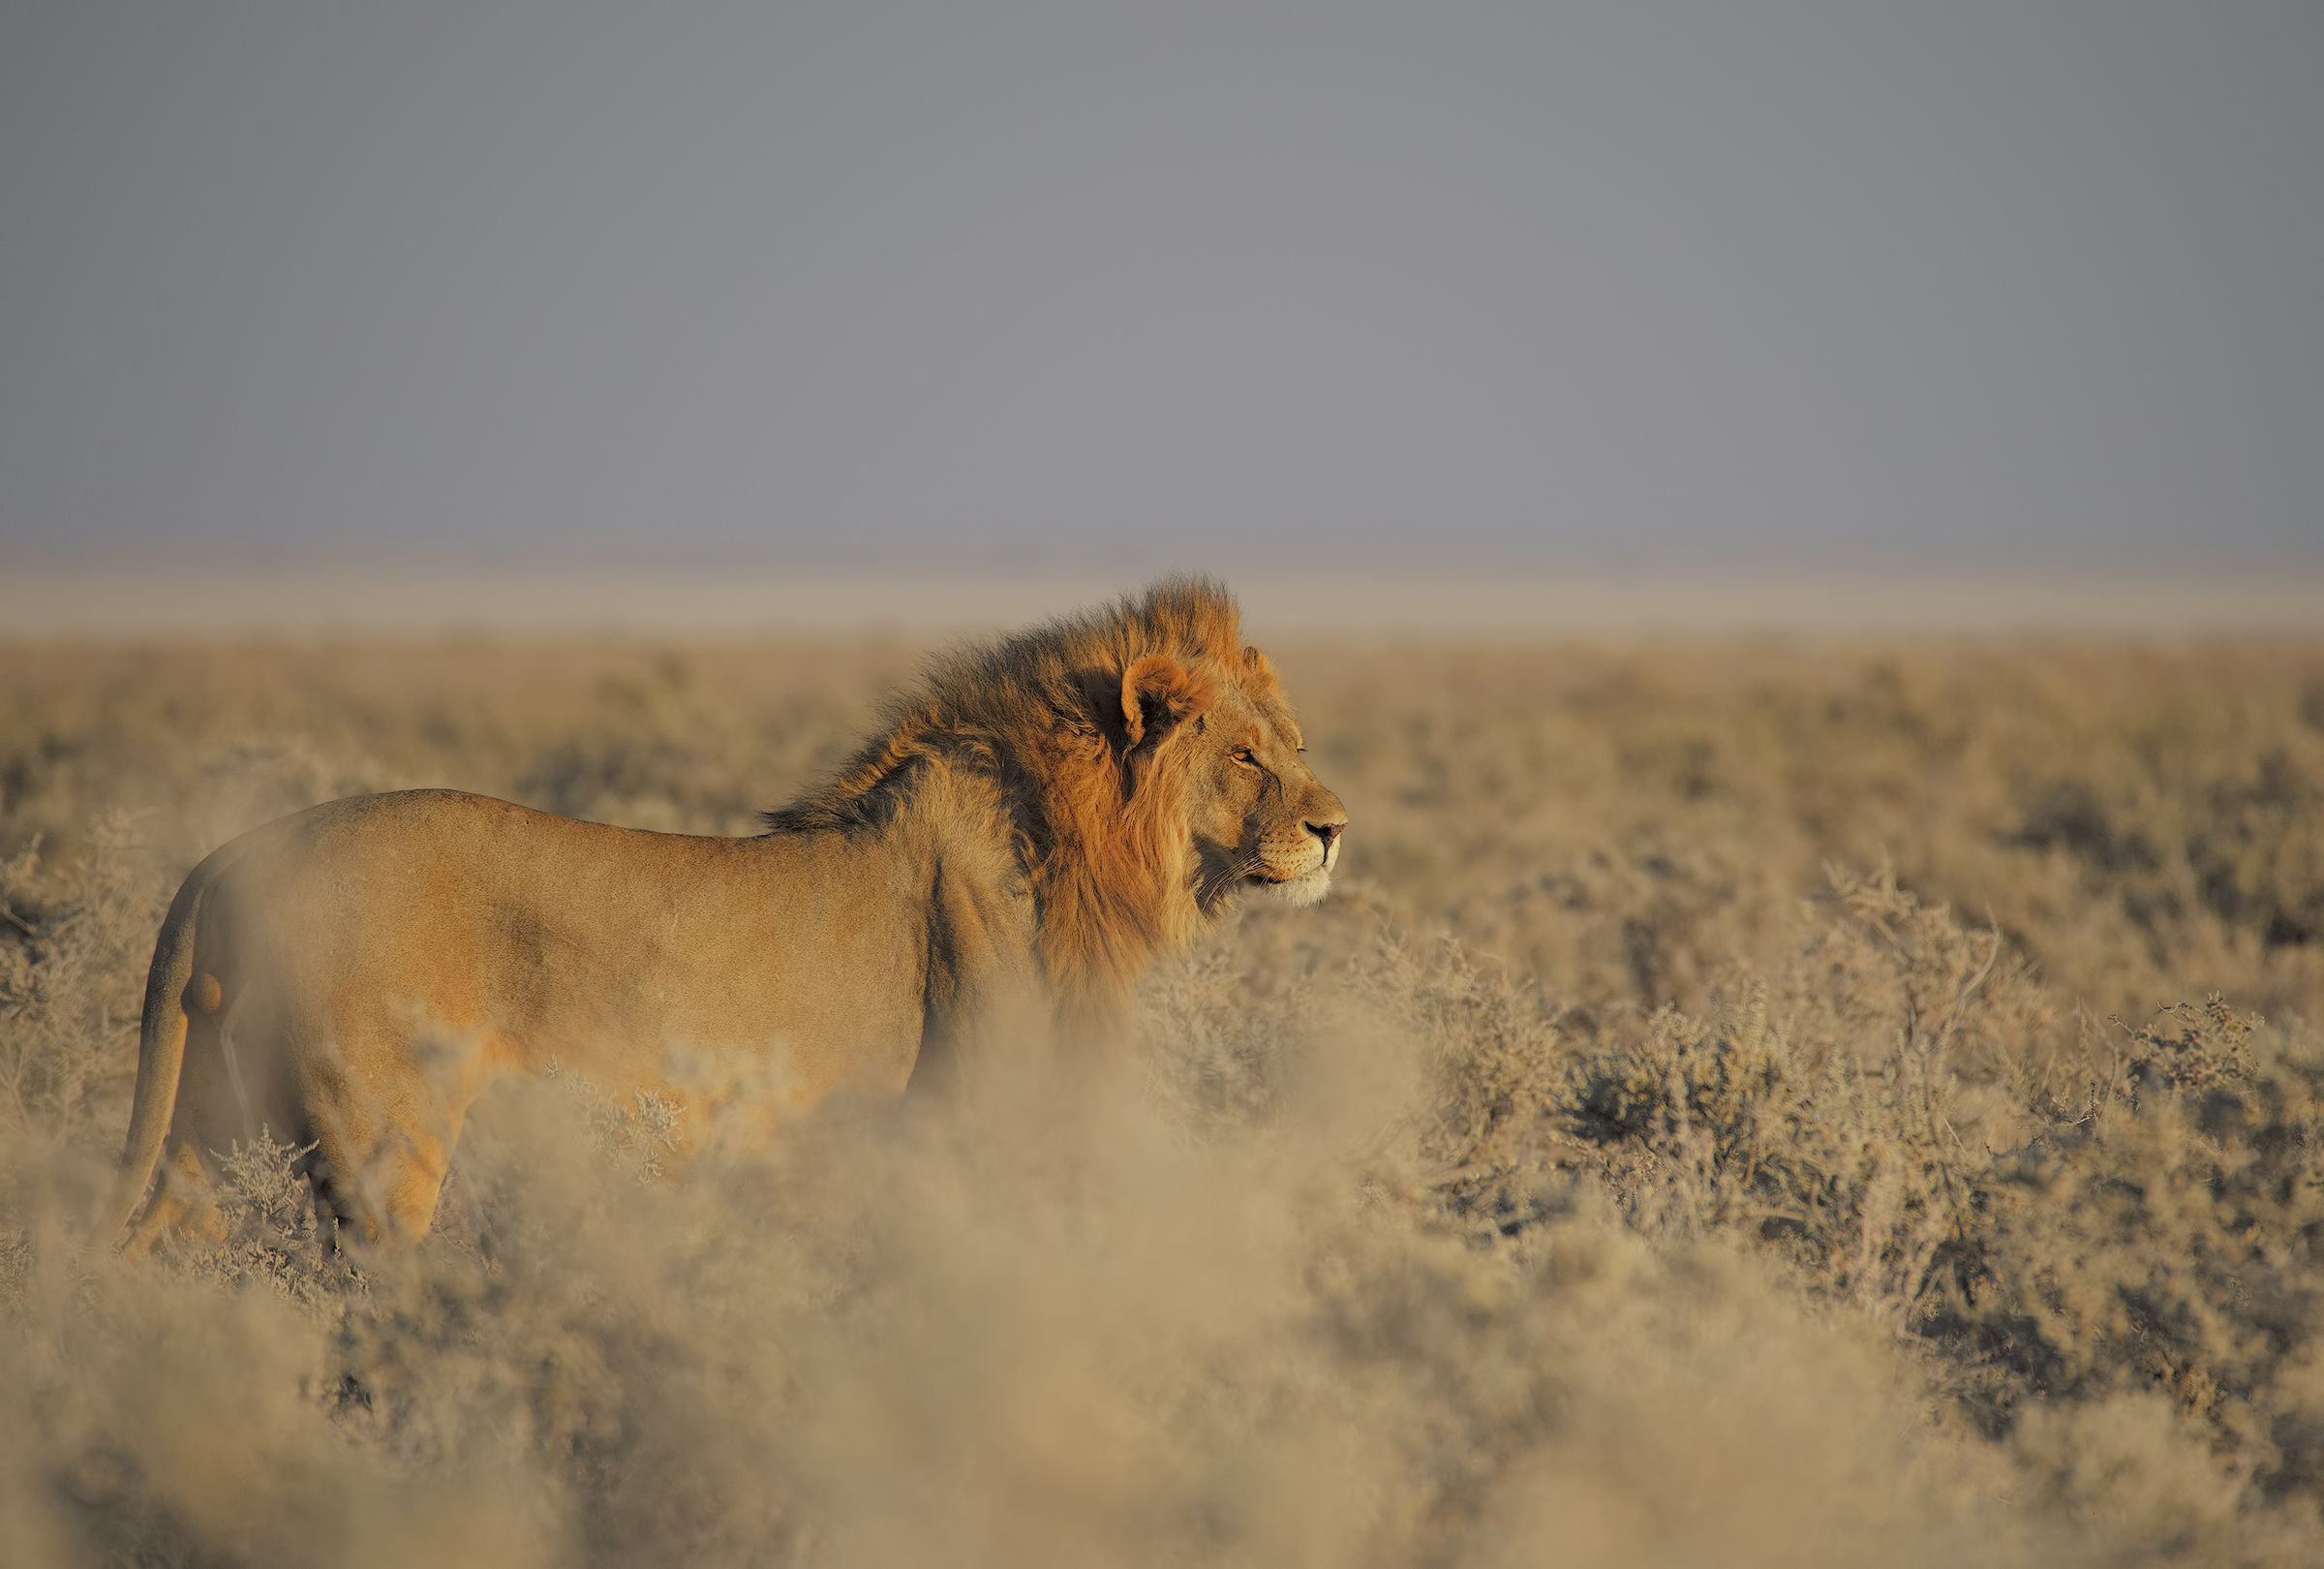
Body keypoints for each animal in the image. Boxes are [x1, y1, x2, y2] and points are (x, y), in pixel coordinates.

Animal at [112, 578, 1347, 1249]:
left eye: (1296, 745)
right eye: (1246, 757)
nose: (1337, 826)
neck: (1072, 849)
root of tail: (230, 855)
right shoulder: (968, 1128)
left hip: (207, 1134)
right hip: (384, 1142)